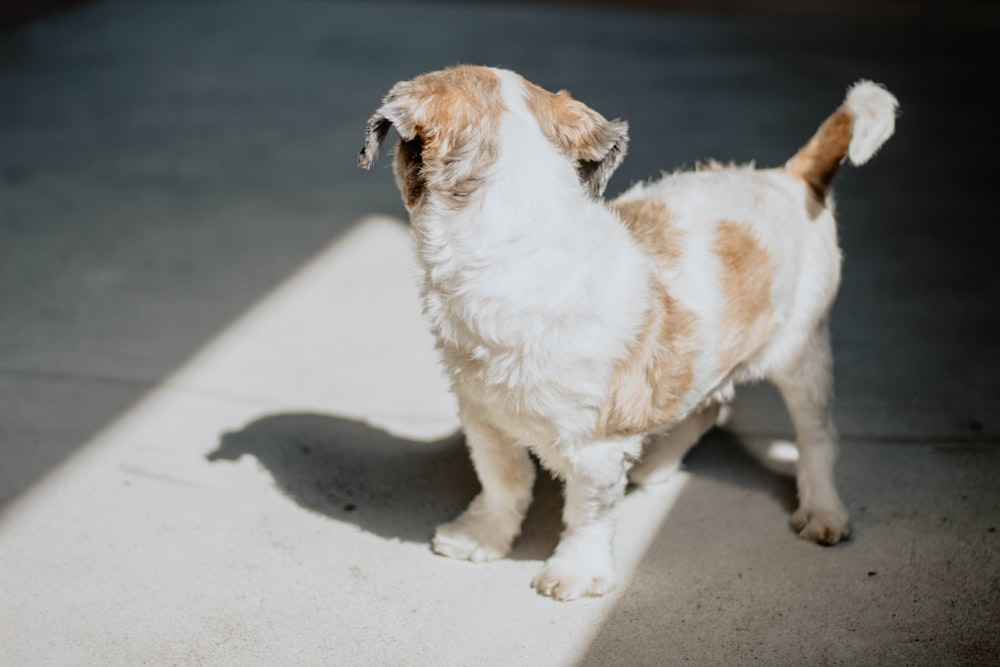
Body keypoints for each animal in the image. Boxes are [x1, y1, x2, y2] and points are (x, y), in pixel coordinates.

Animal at [362, 65, 900, 604]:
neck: (518, 246)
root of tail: (788, 178)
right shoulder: (484, 416)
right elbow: (503, 481)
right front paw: (482, 537)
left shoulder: (594, 450)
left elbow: (587, 514)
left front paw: (574, 571)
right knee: (703, 407)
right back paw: (656, 463)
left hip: (801, 353)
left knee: (816, 437)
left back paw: (823, 511)